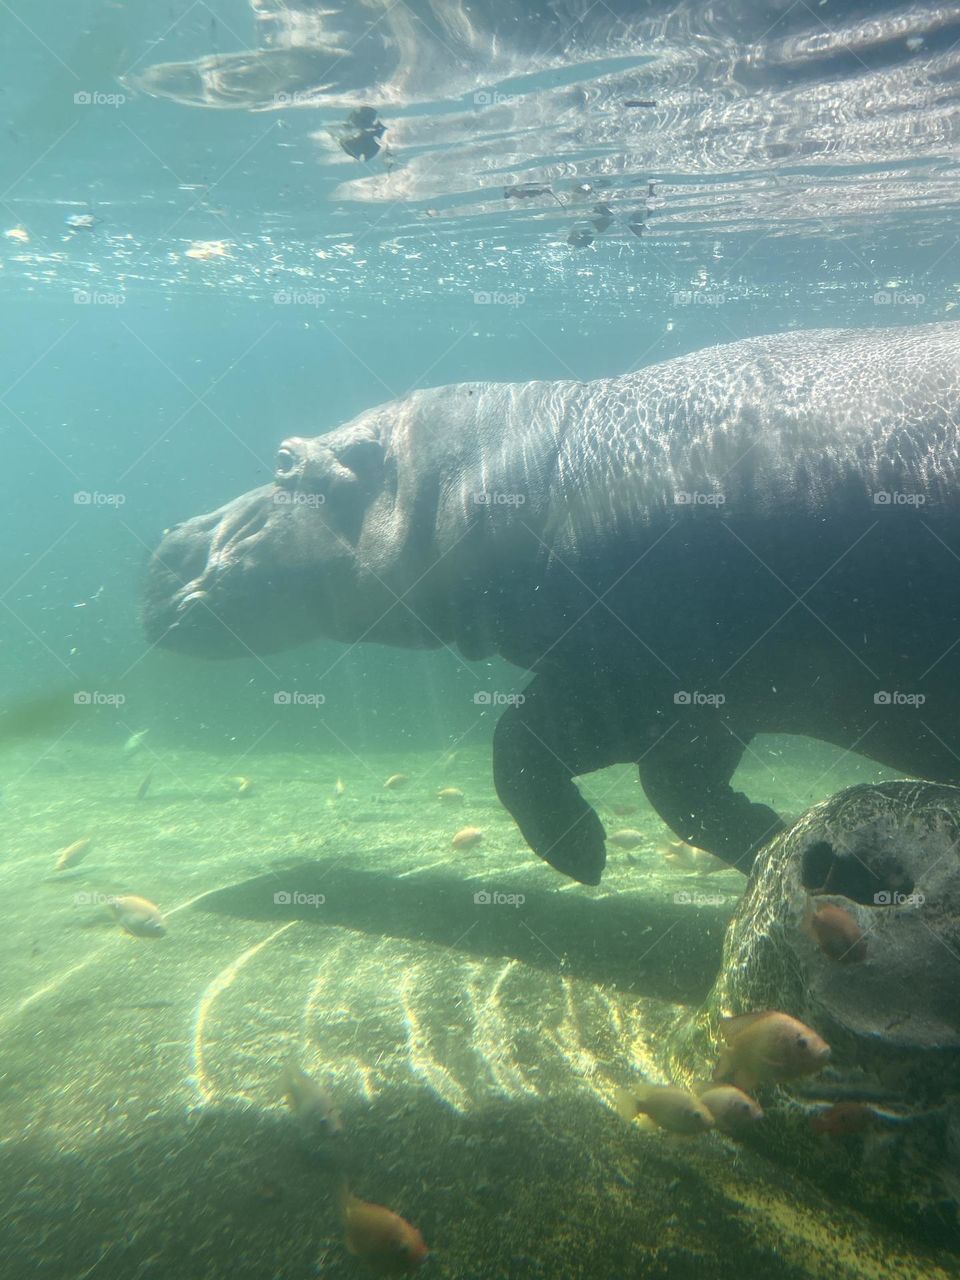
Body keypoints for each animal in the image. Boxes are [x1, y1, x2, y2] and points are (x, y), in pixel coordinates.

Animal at [143, 323, 960, 885]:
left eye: (286, 462)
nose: (163, 548)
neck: (505, 463)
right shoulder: (683, 692)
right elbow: (657, 782)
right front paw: (771, 846)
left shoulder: (636, 679)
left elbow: (522, 746)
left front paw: (582, 858)